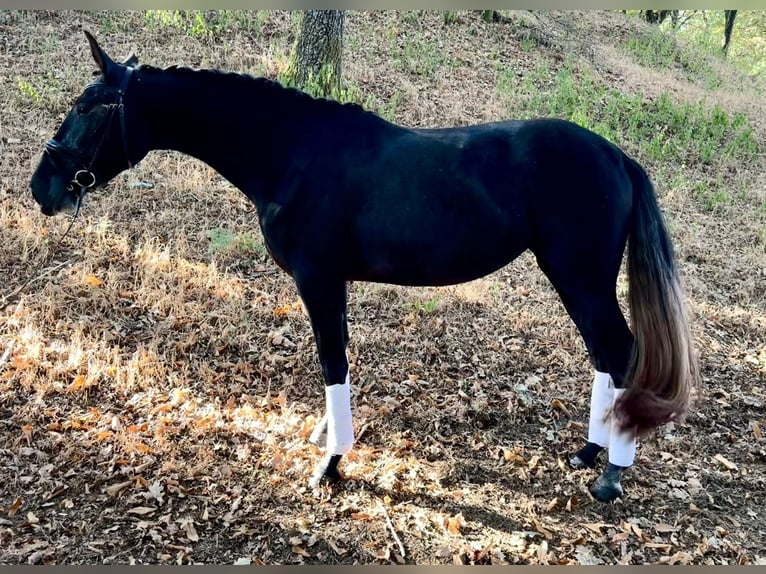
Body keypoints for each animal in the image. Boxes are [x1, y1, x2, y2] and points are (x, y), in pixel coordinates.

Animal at [29, 31, 699, 503]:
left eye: (90, 108)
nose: (43, 187)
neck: (293, 154)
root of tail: (616, 155)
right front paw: (325, 439)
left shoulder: (320, 281)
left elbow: (333, 362)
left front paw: (329, 464)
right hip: (576, 279)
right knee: (605, 355)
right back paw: (589, 452)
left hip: (580, 277)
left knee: (619, 351)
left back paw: (610, 474)